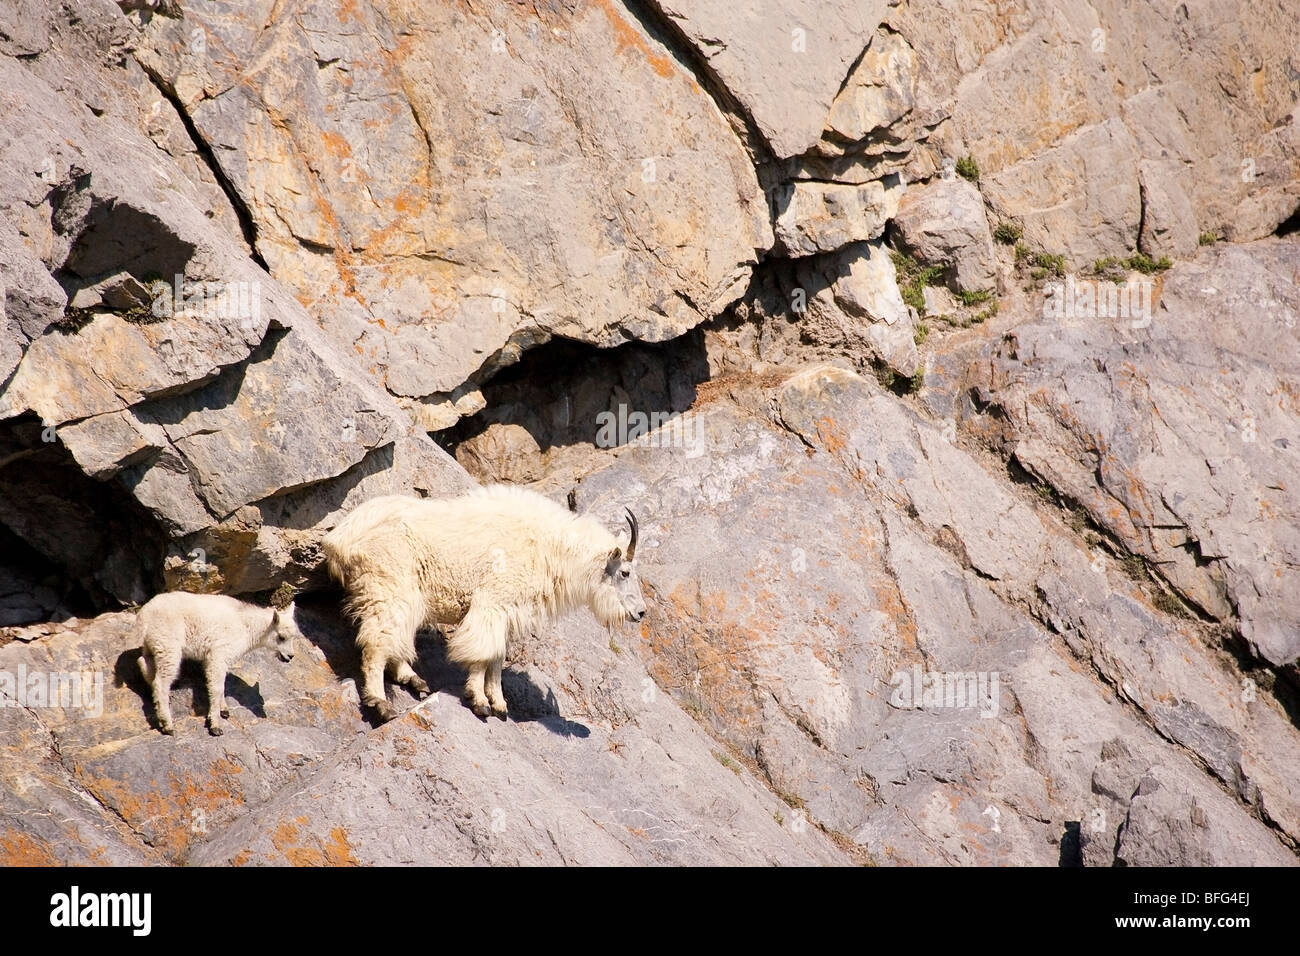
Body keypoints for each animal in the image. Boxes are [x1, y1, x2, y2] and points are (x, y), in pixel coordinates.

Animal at [322, 489, 647, 723]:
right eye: (625, 572)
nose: (641, 612)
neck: (547, 550)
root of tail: (341, 539)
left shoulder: (504, 614)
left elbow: (497, 658)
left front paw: (500, 704)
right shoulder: (489, 605)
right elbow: (481, 655)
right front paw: (480, 702)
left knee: (396, 638)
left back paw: (415, 681)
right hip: (389, 587)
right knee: (376, 644)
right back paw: (381, 704)